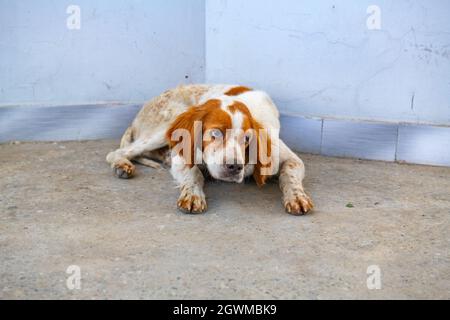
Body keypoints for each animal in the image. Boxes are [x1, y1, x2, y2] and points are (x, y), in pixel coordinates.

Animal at [107, 84, 314, 215]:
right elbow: (194, 173)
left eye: (247, 139)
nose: (234, 167)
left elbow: (289, 173)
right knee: (117, 152)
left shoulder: (289, 158)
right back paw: (122, 165)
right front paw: (192, 195)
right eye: (215, 133)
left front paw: (297, 197)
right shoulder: (183, 157)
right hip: (167, 121)